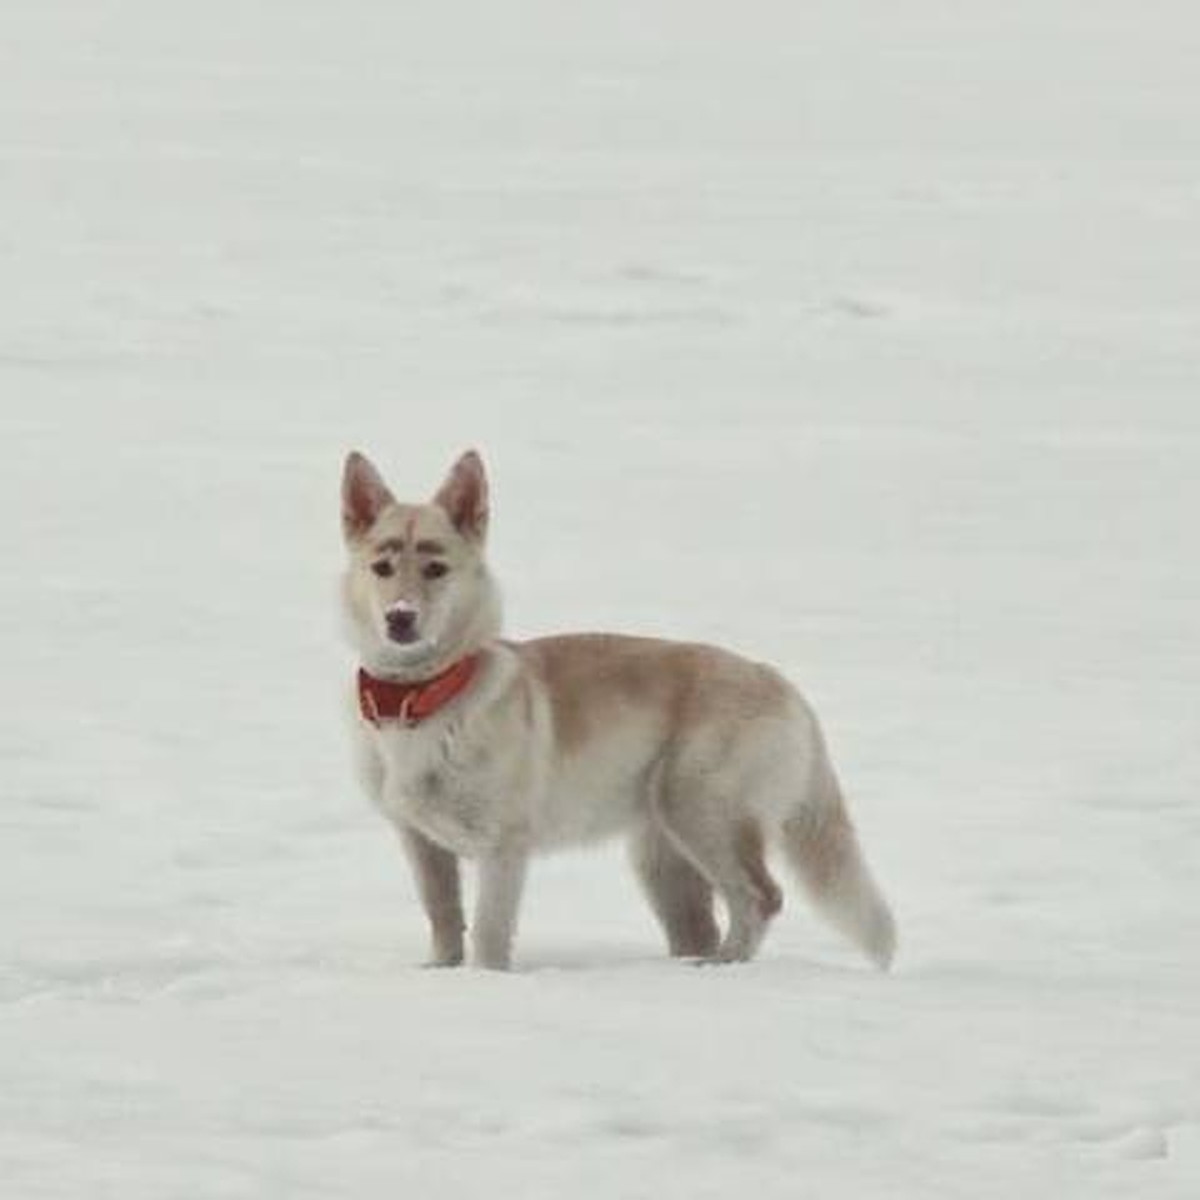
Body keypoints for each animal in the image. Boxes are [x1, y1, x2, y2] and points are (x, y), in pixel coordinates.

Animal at [343, 446, 897, 969]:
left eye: (436, 569)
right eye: (382, 568)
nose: (400, 618)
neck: (423, 696)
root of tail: (780, 682)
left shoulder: (503, 847)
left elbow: (488, 934)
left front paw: (485, 981)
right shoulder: (421, 843)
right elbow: (443, 917)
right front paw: (442, 972)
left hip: (701, 811)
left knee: (762, 896)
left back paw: (723, 967)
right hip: (662, 860)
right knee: (704, 925)